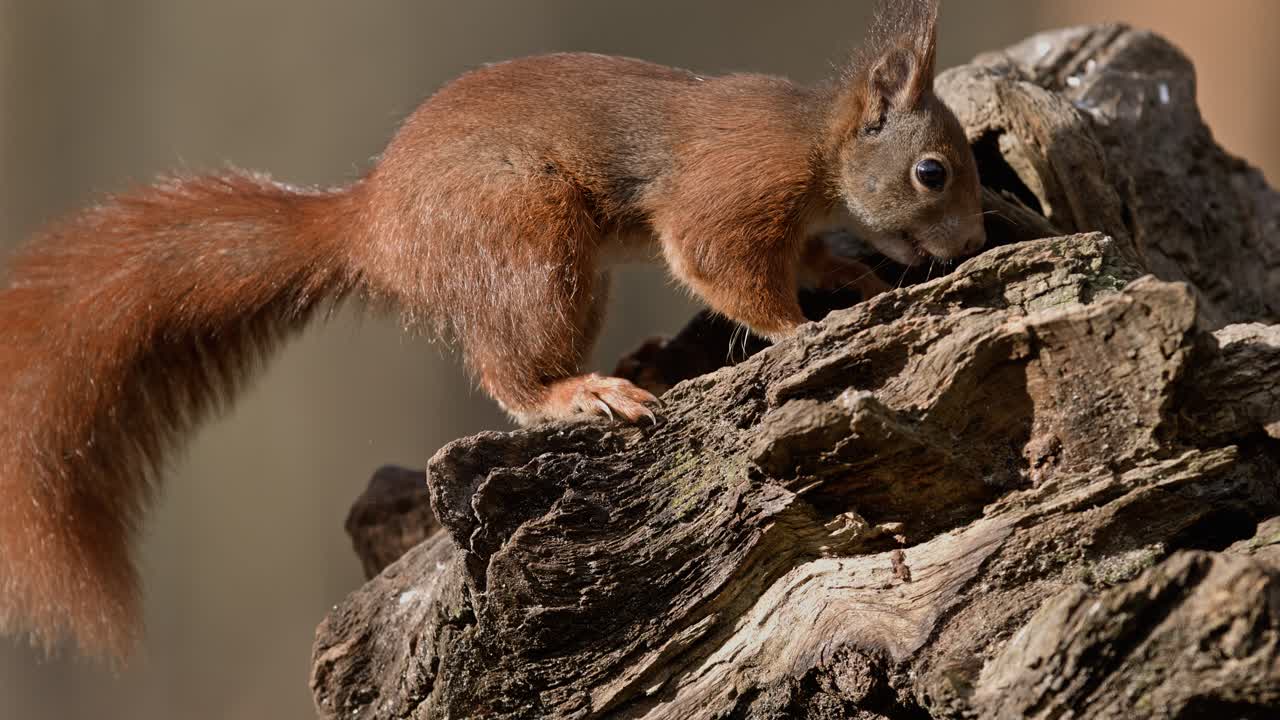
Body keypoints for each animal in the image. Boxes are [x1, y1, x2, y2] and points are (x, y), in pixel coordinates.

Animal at [0, 0, 983, 661]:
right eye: (932, 171)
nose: (972, 241)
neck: (817, 144)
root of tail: (373, 227)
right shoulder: (736, 190)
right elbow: (717, 265)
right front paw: (790, 328)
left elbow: (811, 255)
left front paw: (853, 276)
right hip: (530, 246)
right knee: (509, 374)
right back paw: (578, 395)